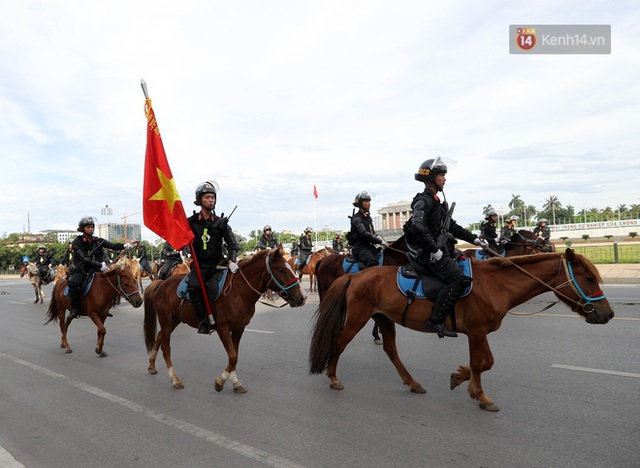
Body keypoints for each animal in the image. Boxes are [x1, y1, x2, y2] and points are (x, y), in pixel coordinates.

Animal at [143, 247, 308, 394]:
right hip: (166, 319)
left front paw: (235, 383)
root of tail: (161, 283)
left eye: (291, 268)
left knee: (159, 336)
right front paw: (219, 382)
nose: (302, 297)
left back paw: (151, 365)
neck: (238, 291)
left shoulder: (239, 328)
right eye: (281, 270)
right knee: (166, 347)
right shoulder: (222, 328)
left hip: (175, 320)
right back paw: (175, 379)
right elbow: (233, 356)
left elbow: (235, 355)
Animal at [310, 250, 616, 412]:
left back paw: (412, 382)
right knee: (339, 342)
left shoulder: (481, 332)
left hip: (384, 318)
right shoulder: (476, 332)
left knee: (391, 350)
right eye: (589, 278)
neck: (497, 284)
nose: (608, 313)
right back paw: (333, 377)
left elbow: (486, 362)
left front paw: (459, 378)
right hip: (358, 318)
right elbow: (480, 364)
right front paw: (480, 396)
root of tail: (355, 275)